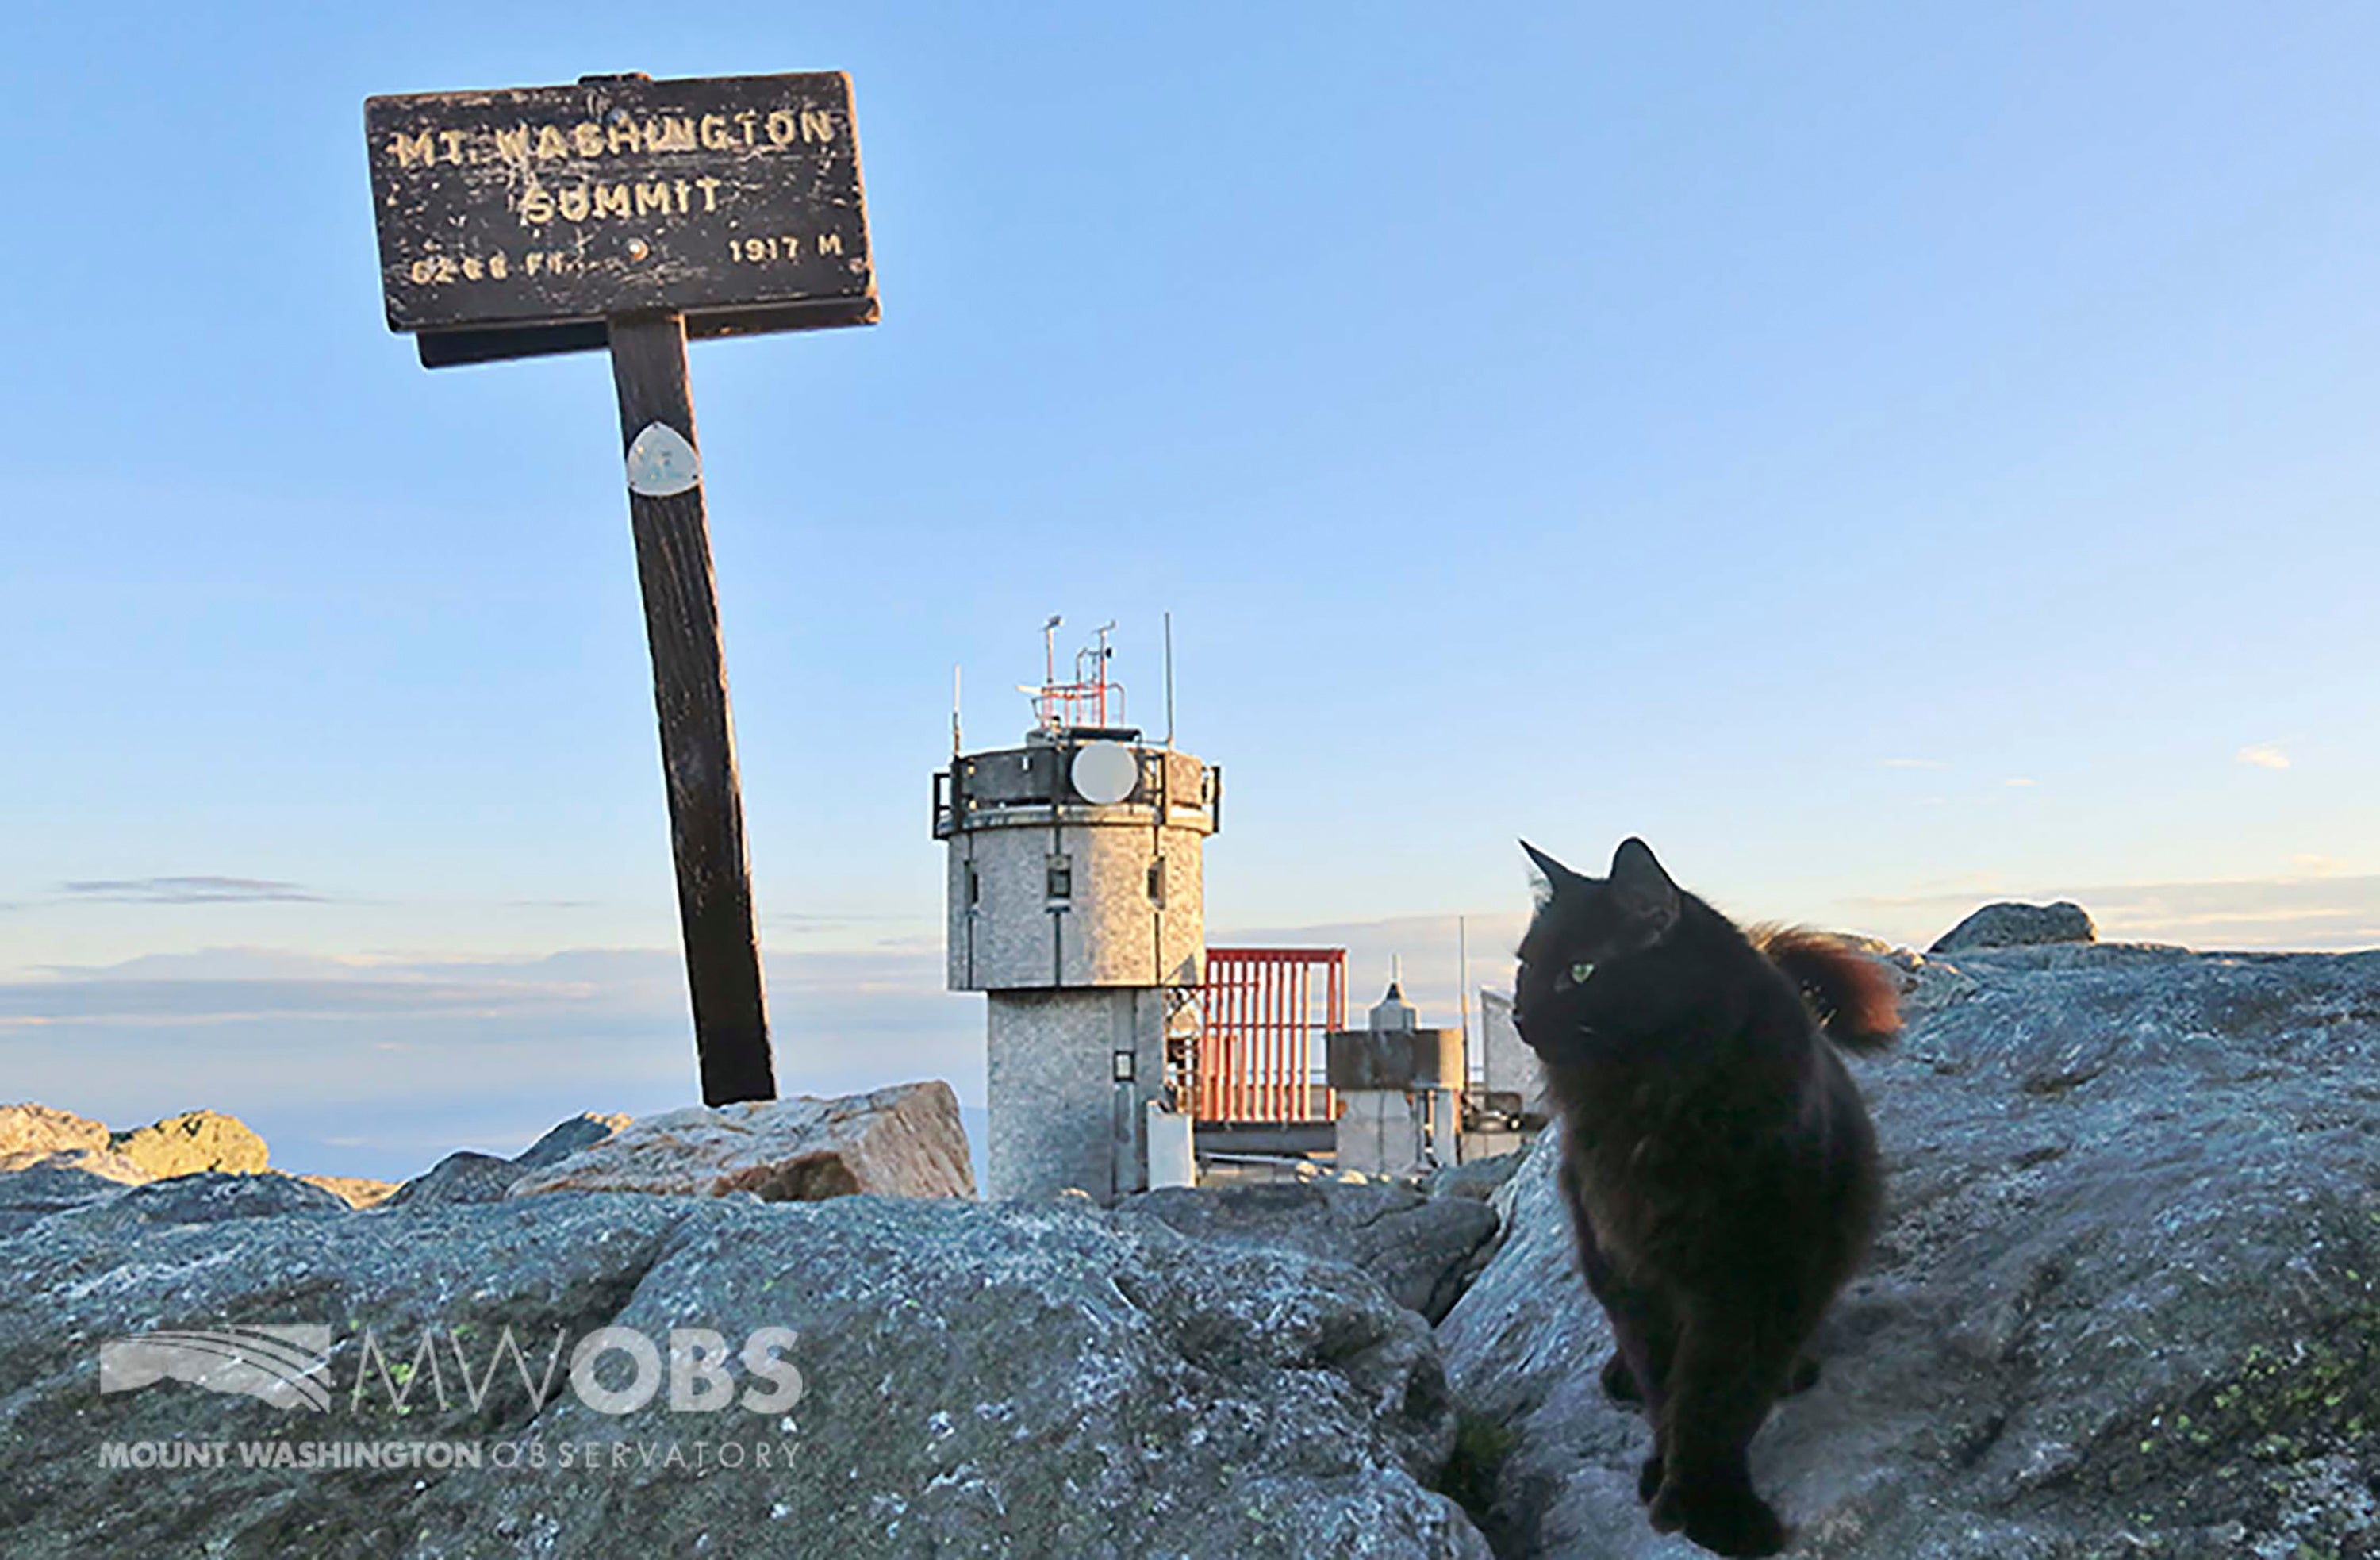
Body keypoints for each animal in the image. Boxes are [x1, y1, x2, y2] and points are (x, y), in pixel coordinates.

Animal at [1523, 843, 1894, 1560]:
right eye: (1526, 965)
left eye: (1579, 972)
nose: (1520, 1018)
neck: (1650, 1099)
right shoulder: (1632, 1269)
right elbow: (1668, 1386)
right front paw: (1669, 1475)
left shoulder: (1762, 1276)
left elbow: (1719, 1398)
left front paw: (1711, 1506)